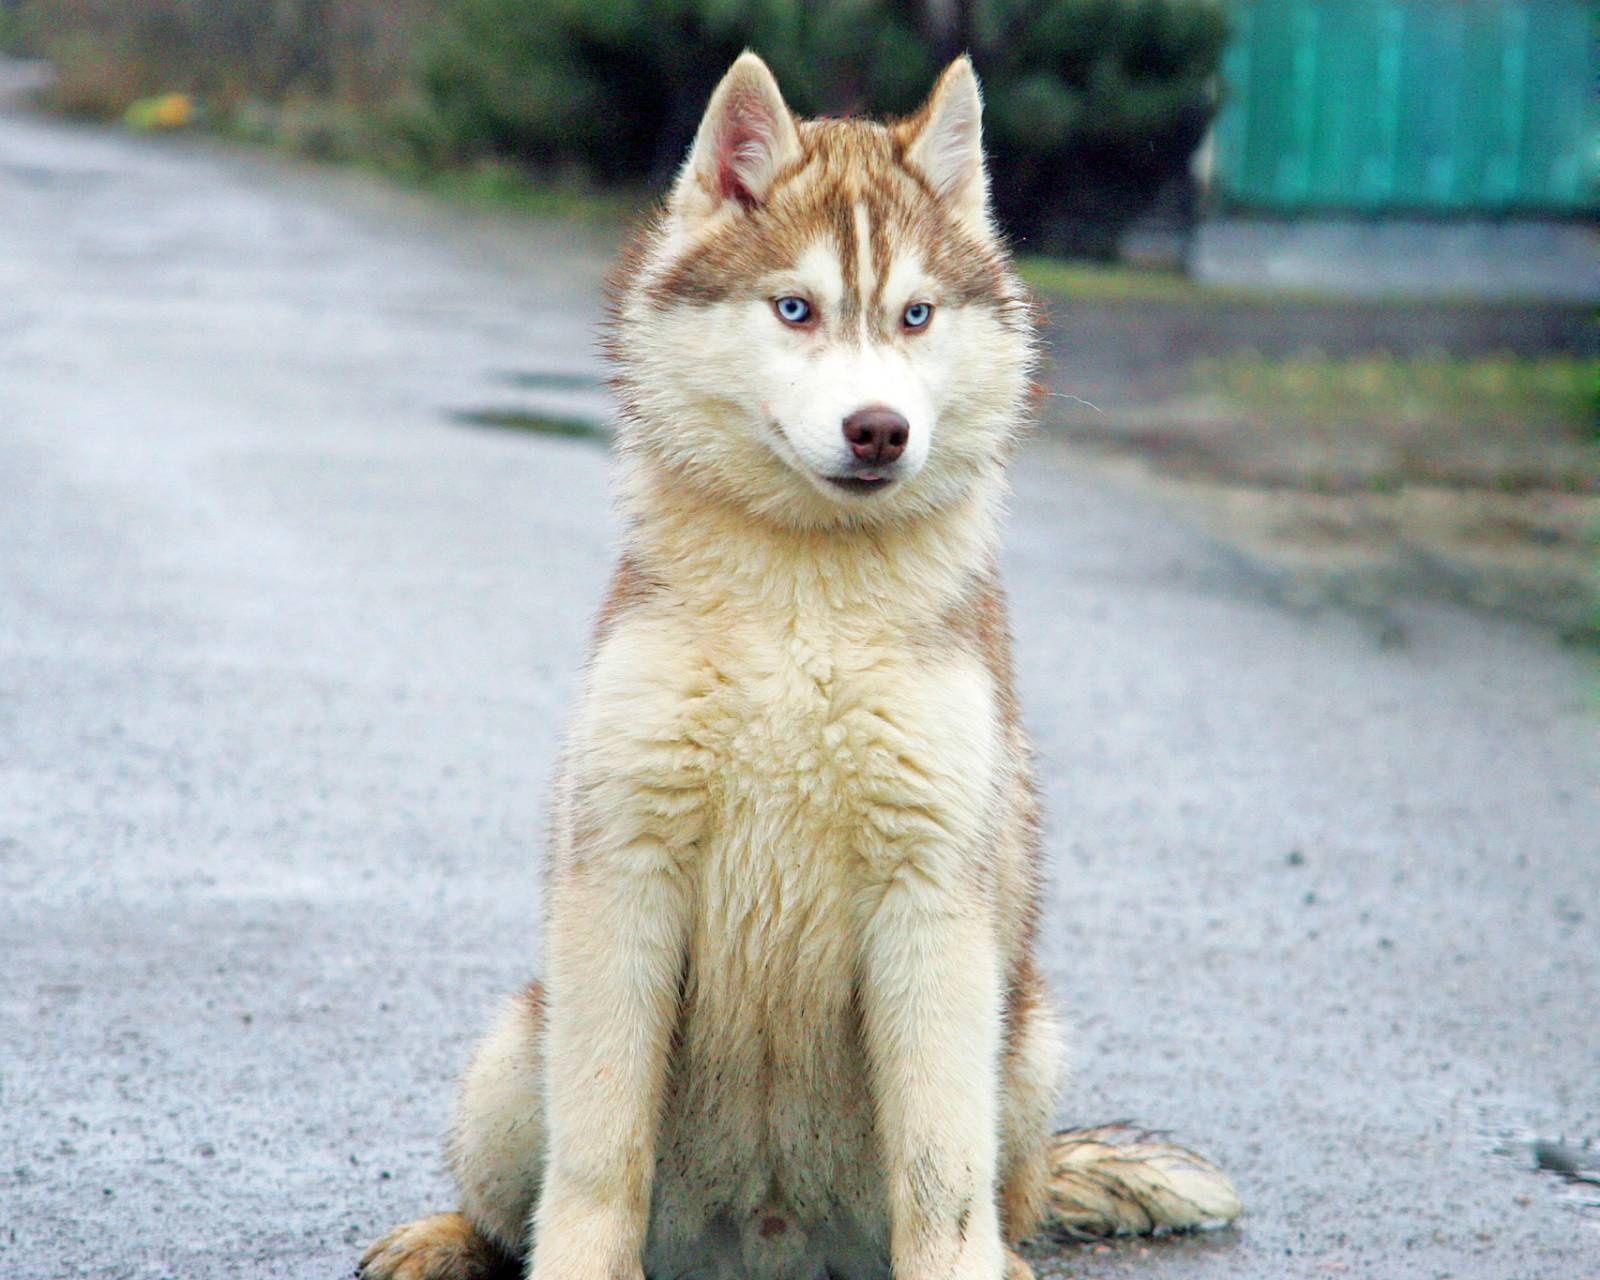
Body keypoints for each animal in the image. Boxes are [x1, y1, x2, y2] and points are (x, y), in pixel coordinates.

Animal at [363, 52, 1235, 1280]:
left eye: (915, 314)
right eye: (795, 308)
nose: (878, 429)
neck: (803, 607)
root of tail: (767, 1248)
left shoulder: (931, 904)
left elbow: (941, 1183)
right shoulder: (624, 873)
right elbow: (597, 1158)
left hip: (1026, 1039)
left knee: (1003, 1199)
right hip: (515, 1048)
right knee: (509, 1199)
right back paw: (448, 1239)